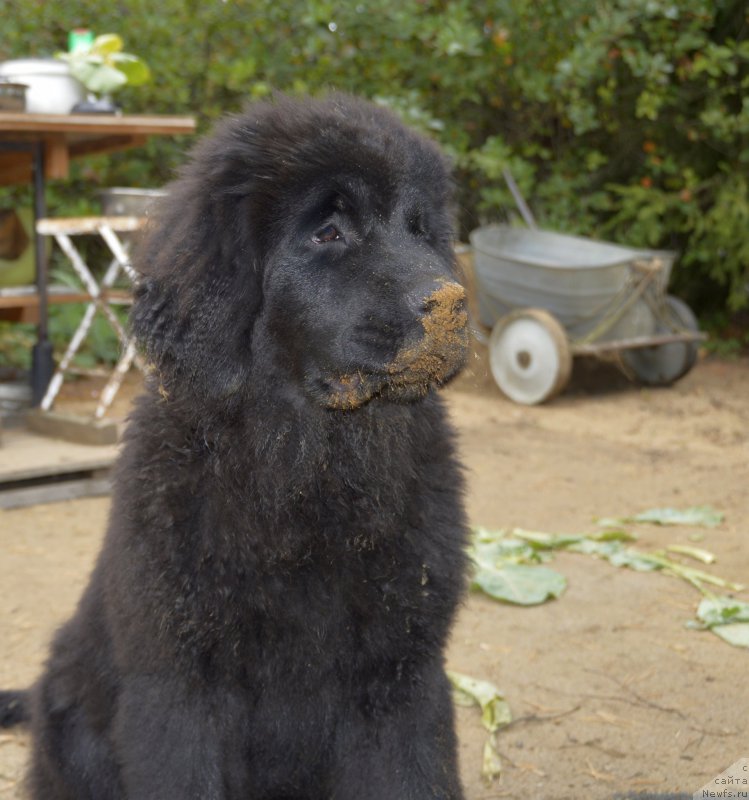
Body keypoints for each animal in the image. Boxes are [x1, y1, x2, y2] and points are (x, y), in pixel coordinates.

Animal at [0, 95, 468, 800]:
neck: (310, 471)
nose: (452, 304)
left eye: (419, 230)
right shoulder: (179, 688)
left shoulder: (401, 676)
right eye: (328, 232)